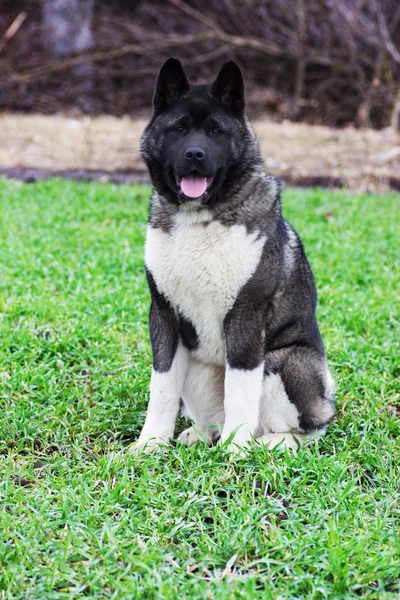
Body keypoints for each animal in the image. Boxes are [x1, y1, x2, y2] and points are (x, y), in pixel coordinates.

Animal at [134, 58, 334, 452]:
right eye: (179, 130)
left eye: (215, 131)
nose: (194, 154)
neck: (202, 218)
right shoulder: (163, 316)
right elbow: (161, 388)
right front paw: (150, 443)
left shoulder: (246, 318)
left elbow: (241, 389)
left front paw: (235, 451)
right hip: (197, 367)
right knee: (213, 414)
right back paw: (204, 433)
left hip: (283, 362)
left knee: (309, 428)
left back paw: (271, 443)